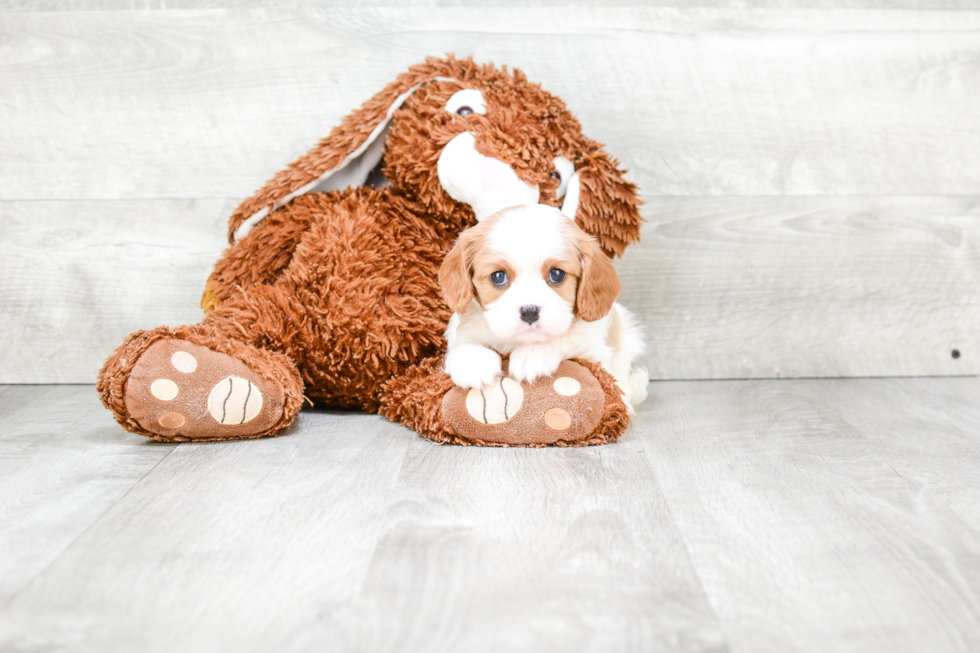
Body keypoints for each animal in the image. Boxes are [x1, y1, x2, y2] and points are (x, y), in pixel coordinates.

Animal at [440, 204, 648, 410]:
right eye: (498, 276)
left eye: (557, 274)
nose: (529, 311)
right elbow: (461, 345)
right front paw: (473, 361)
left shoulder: (594, 350)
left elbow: (568, 337)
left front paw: (533, 354)